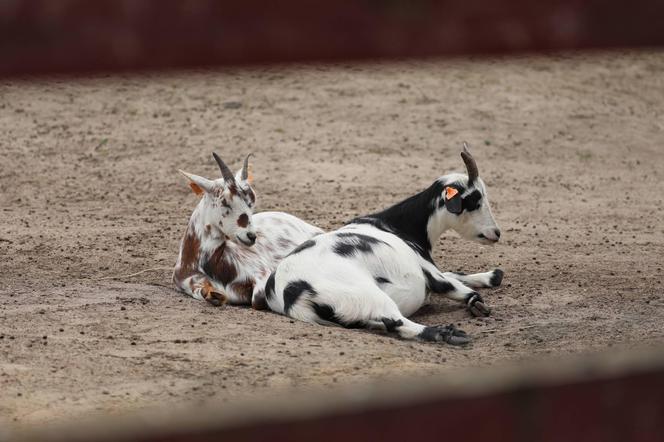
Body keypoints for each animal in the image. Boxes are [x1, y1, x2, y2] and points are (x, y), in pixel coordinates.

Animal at [264, 145, 504, 346]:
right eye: (476, 200)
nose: (496, 233)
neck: (396, 226)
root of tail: (293, 291)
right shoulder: (429, 271)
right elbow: (457, 287)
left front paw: (491, 276)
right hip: (367, 295)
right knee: (398, 322)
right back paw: (448, 334)